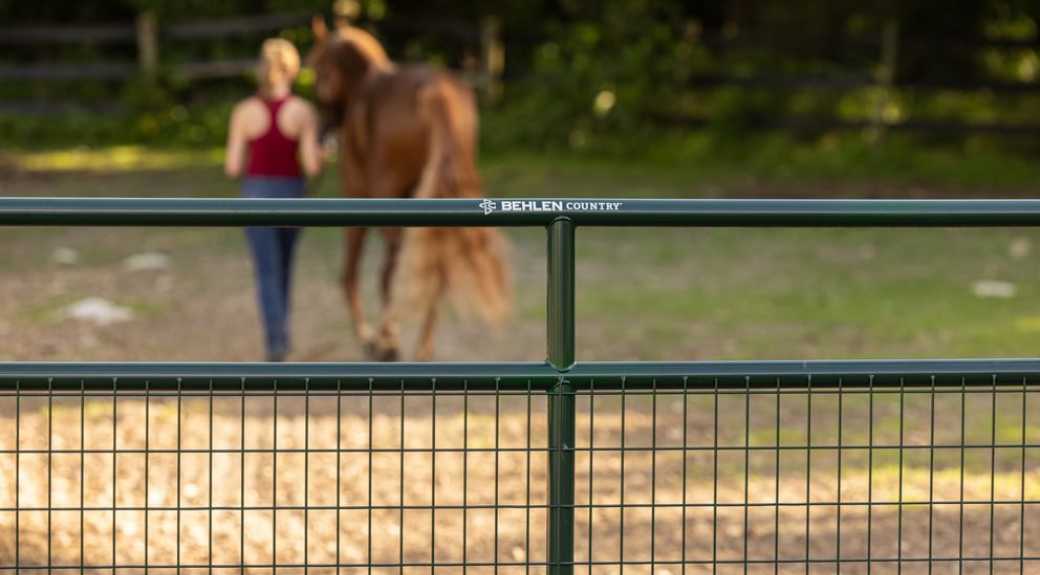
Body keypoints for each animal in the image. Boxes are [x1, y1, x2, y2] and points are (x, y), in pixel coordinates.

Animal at [307, 17, 511, 362]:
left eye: (319, 67)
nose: (323, 134)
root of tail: (437, 93)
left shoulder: (357, 196)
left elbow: (352, 274)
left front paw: (370, 338)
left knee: (389, 270)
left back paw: (387, 341)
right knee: (434, 268)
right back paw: (421, 347)